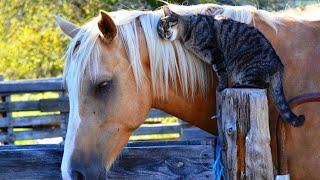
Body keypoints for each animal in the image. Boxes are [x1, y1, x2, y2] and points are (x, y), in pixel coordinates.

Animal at [158, 5, 304, 126]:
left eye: (165, 25)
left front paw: (221, 86)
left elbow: (221, 73)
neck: (188, 29)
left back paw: (238, 85)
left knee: (262, 84)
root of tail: (279, 65)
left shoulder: (215, 53)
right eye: (159, 31)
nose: (164, 34)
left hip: (245, 67)